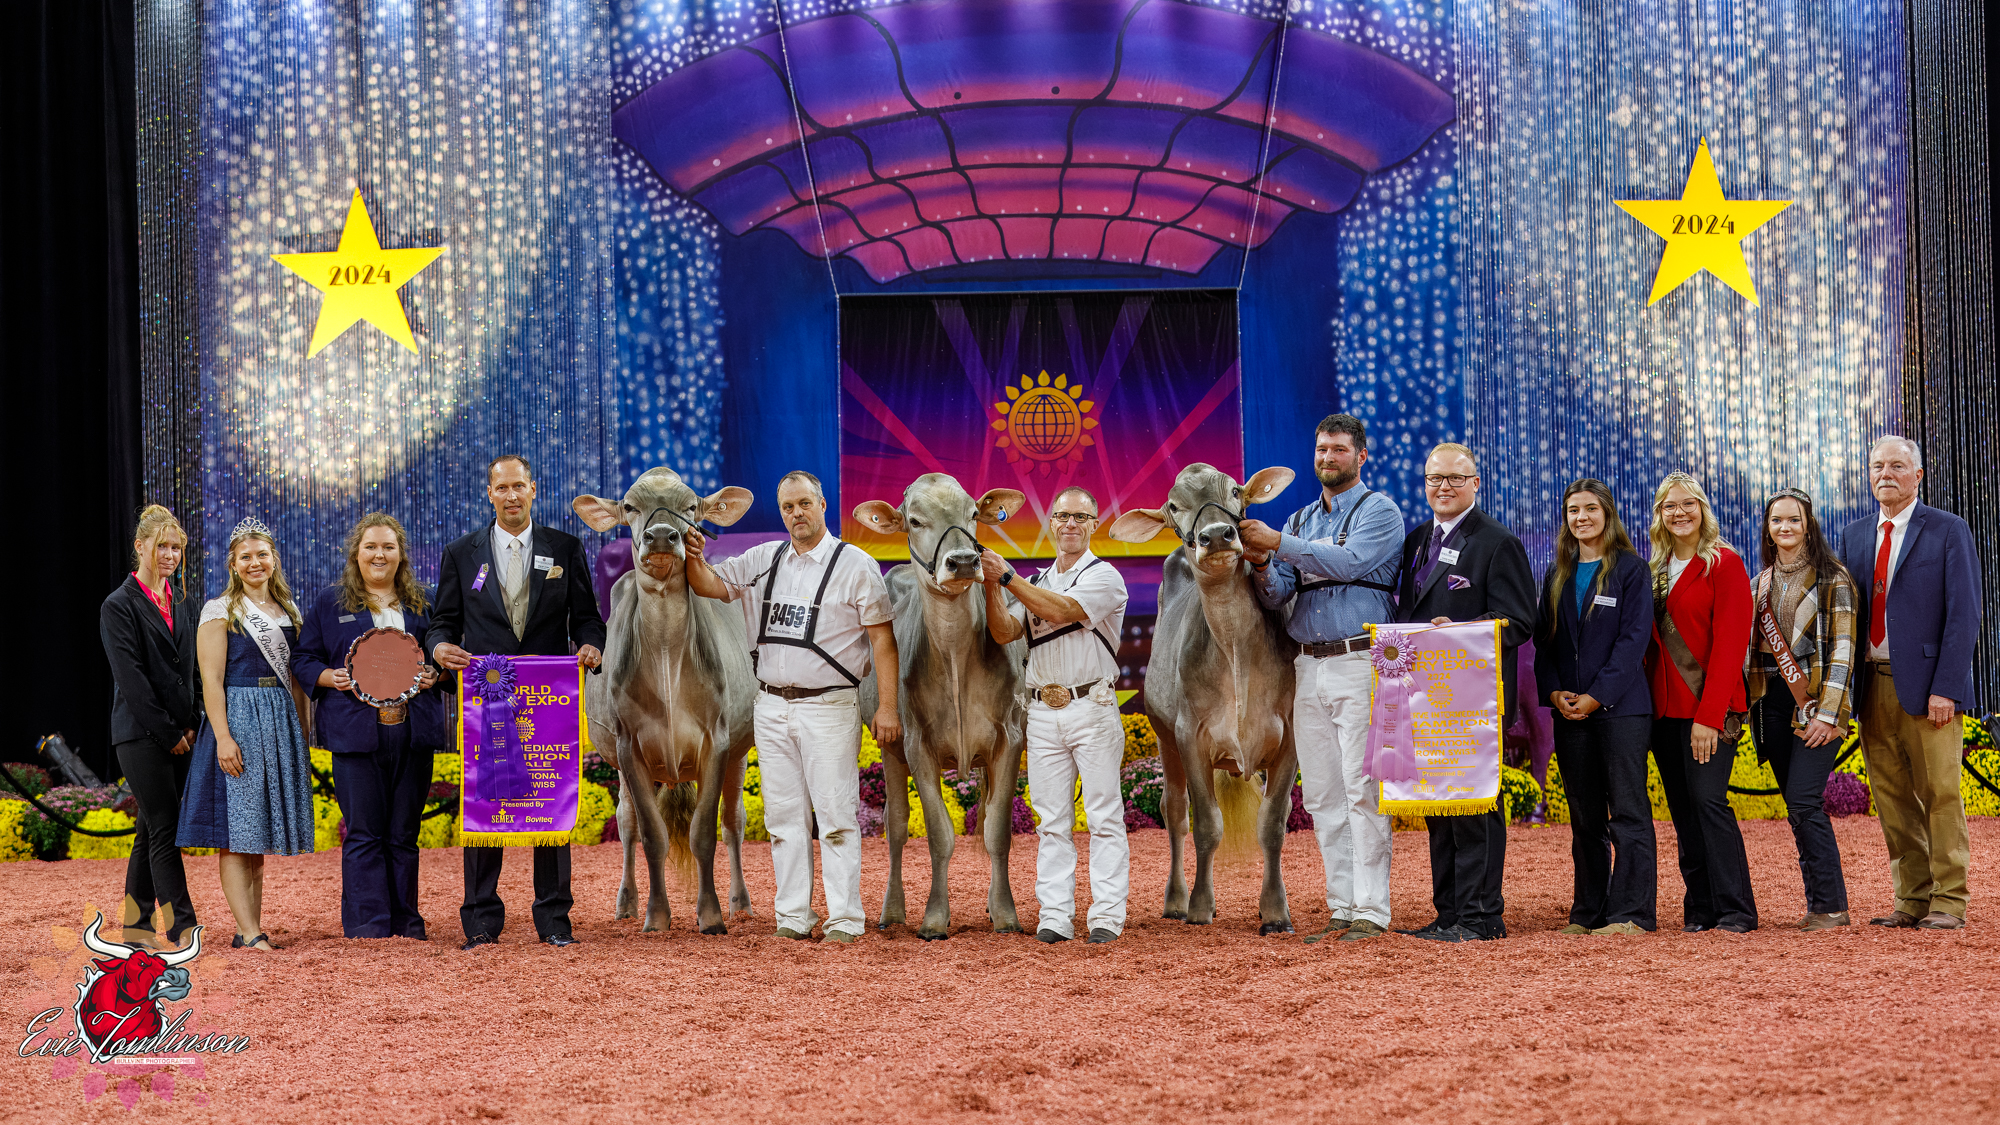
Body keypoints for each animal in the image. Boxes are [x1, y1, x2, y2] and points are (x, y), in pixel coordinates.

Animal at [573, 468, 758, 935]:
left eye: (691, 506)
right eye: (630, 506)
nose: (660, 536)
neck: (666, 655)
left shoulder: (717, 742)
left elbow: (704, 833)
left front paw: (711, 914)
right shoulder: (629, 746)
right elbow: (652, 835)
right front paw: (656, 915)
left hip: (740, 752)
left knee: (734, 823)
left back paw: (741, 903)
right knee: (627, 823)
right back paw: (626, 902)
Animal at [853, 473, 1028, 939]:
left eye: (973, 513)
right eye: (914, 520)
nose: (965, 561)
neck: (953, 657)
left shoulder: (1010, 739)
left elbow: (996, 831)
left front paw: (1005, 914)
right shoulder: (917, 745)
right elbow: (938, 835)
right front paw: (934, 918)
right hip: (889, 744)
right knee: (895, 826)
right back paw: (892, 911)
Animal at [1109, 462, 1299, 933]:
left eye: (1234, 490)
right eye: (1174, 506)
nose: (1216, 535)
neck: (1234, 647)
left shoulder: (1290, 735)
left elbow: (1273, 823)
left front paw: (1275, 912)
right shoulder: (1190, 735)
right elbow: (1206, 825)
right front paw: (1199, 905)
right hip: (1163, 737)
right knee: (1174, 812)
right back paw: (1176, 900)